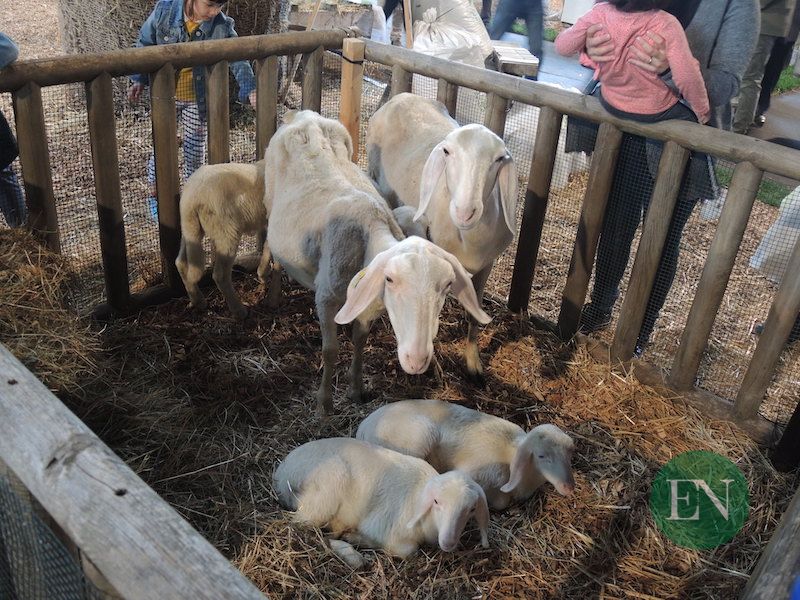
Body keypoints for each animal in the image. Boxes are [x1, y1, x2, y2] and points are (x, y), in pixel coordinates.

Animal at [175, 159, 281, 320]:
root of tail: (192, 197)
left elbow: (268, 246)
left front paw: (262, 274)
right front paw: (273, 299)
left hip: (189, 230)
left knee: (181, 262)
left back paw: (198, 301)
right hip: (226, 234)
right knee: (220, 275)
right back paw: (239, 310)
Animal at [264, 110, 491, 416]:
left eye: (446, 286)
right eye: (390, 279)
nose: (417, 359)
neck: (370, 227)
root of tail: (304, 116)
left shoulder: (367, 305)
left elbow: (359, 341)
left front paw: (356, 389)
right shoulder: (326, 297)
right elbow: (330, 350)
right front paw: (324, 404)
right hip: (269, 199)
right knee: (271, 247)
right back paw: (271, 289)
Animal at [273, 437, 490, 562]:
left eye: (471, 509)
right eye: (436, 502)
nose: (449, 542)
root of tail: (282, 473)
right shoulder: (384, 526)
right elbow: (408, 551)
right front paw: (359, 539)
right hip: (327, 488)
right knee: (302, 525)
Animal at [357, 399, 575, 511]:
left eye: (570, 453)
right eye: (541, 456)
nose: (568, 487)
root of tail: (364, 425)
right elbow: (500, 502)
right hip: (419, 438)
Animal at [366, 92, 518, 380]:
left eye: (498, 159)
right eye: (447, 152)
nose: (464, 211)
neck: (469, 238)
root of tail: (402, 96)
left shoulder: (487, 264)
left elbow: (474, 313)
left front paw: (473, 362)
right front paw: (433, 363)